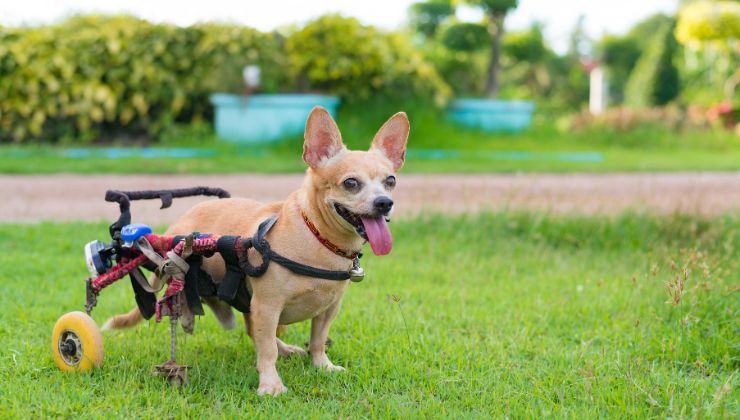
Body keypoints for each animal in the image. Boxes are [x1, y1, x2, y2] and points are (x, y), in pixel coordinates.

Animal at [103, 106, 408, 396]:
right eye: (350, 183)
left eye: (391, 181)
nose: (384, 202)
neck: (317, 237)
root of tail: (176, 224)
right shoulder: (267, 306)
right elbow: (266, 349)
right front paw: (270, 384)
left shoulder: (329, 308)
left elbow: (318, 339)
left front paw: (322, 366)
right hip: (190, 267)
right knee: (189, 292)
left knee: (256, 331)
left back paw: (286, 348)